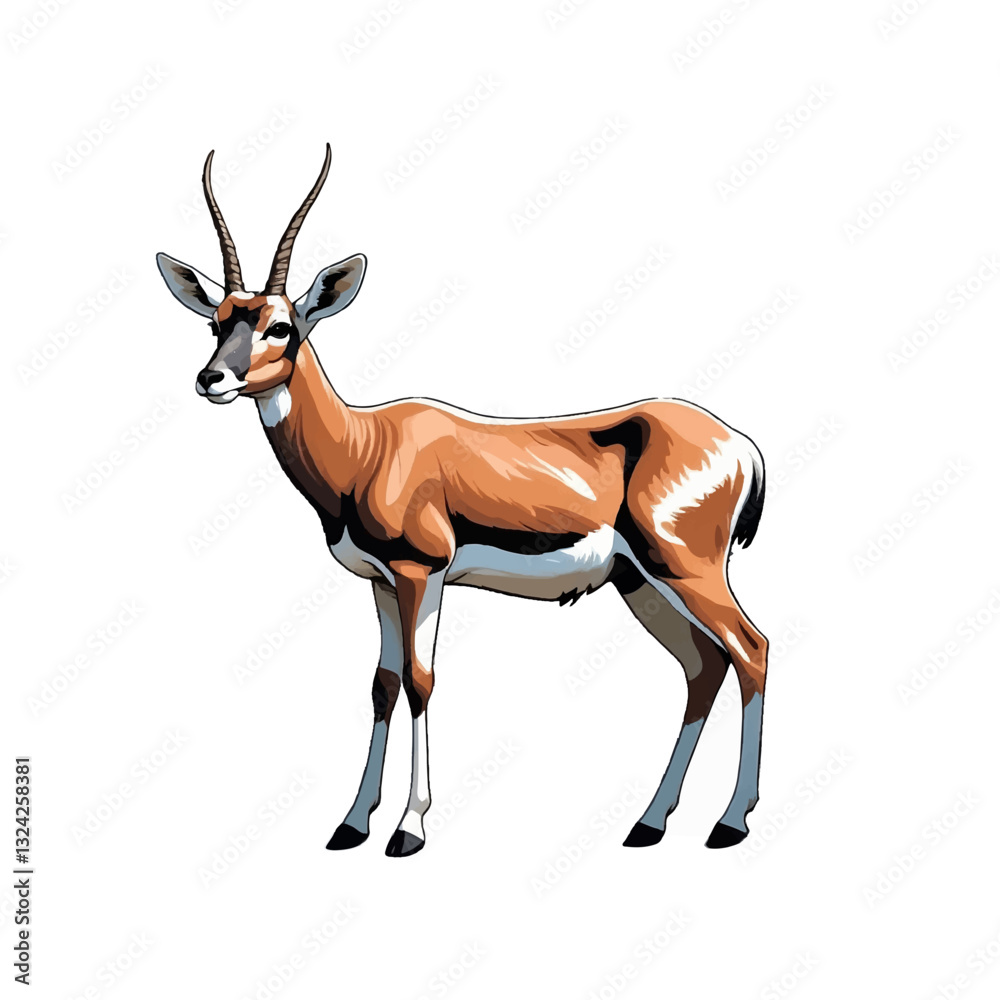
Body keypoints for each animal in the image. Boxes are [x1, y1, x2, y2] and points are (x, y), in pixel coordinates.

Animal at [157, 145, 770, 857]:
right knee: (703, 668)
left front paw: (409, 828)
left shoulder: (422, 572)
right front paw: (351, 824)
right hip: (640, 582)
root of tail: (740, 444)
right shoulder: (381, 581)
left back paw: (730, 823)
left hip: (687, 570)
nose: (212, 379)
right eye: (216, 321)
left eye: (281, 325)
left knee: (750, 651)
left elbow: (420, 683)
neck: (368, 446)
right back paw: (648, 824)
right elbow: (382, 685)